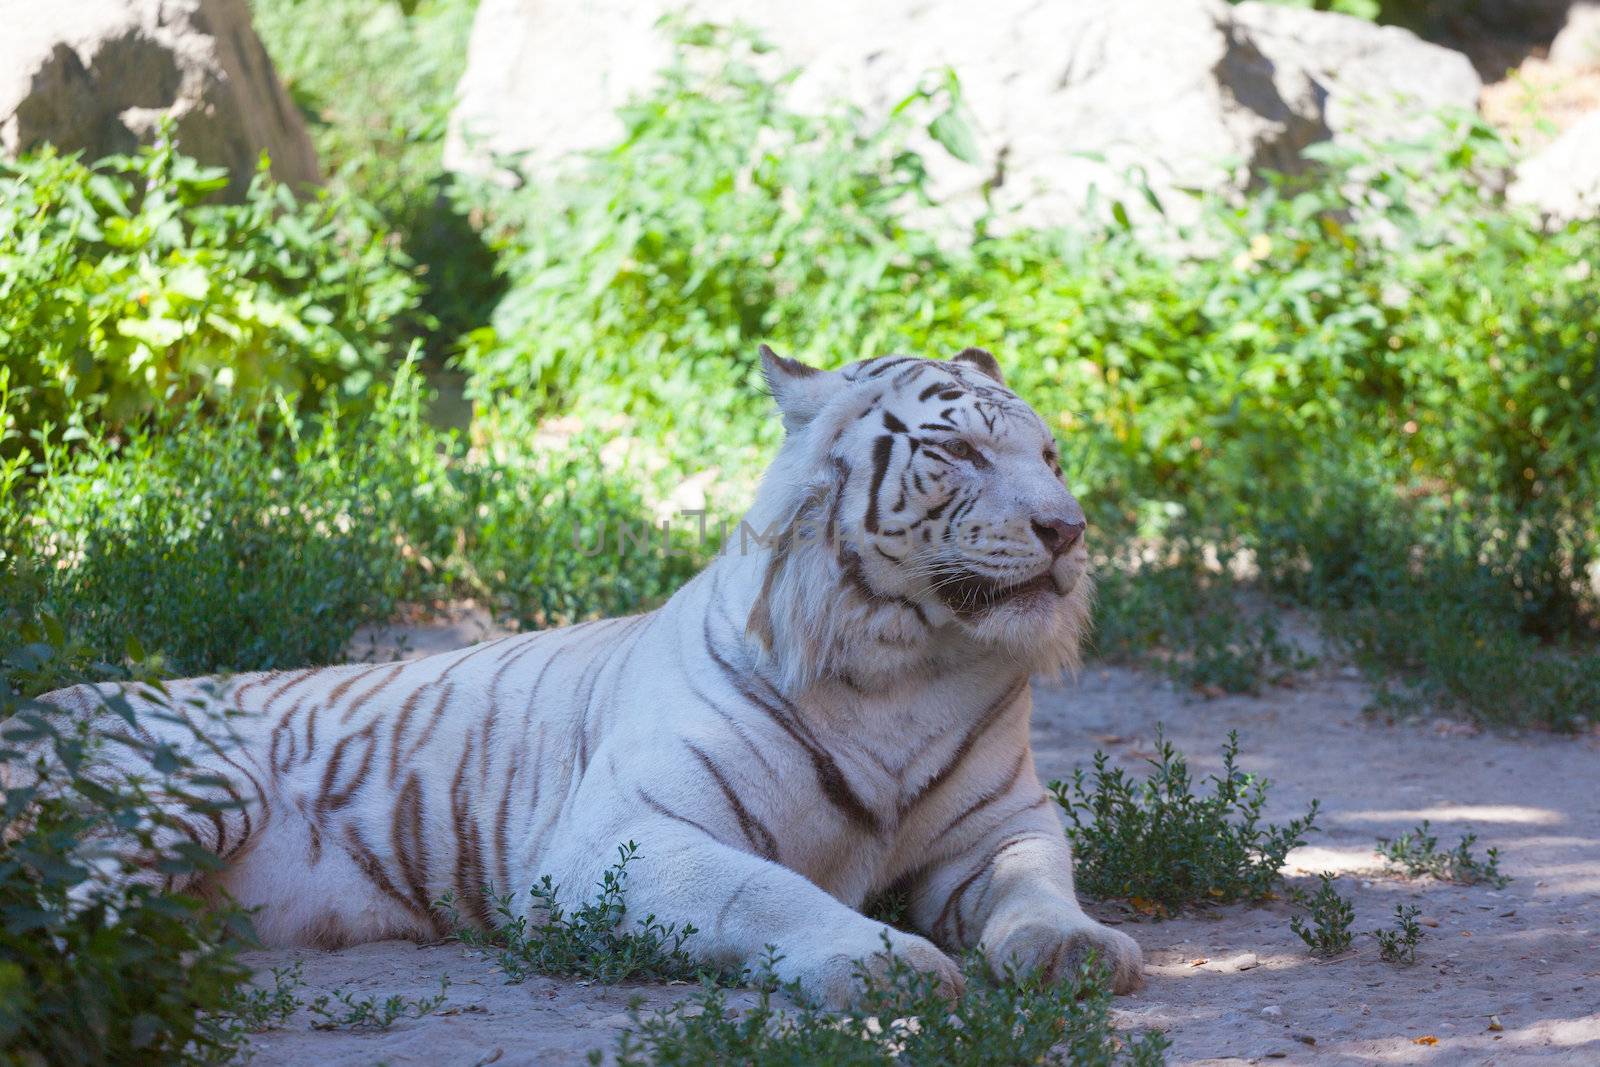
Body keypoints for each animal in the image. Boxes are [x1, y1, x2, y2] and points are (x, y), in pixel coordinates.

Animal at [34, 347, 1139, 1004]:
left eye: (1048, 454)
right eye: (957, 451)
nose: (1069, 528)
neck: (906, 665)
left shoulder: (999, 824)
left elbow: (1037, 882)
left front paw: (1078, 946)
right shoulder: (620, 839)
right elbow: (767, 889)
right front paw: (888, 960)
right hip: (187, 789)